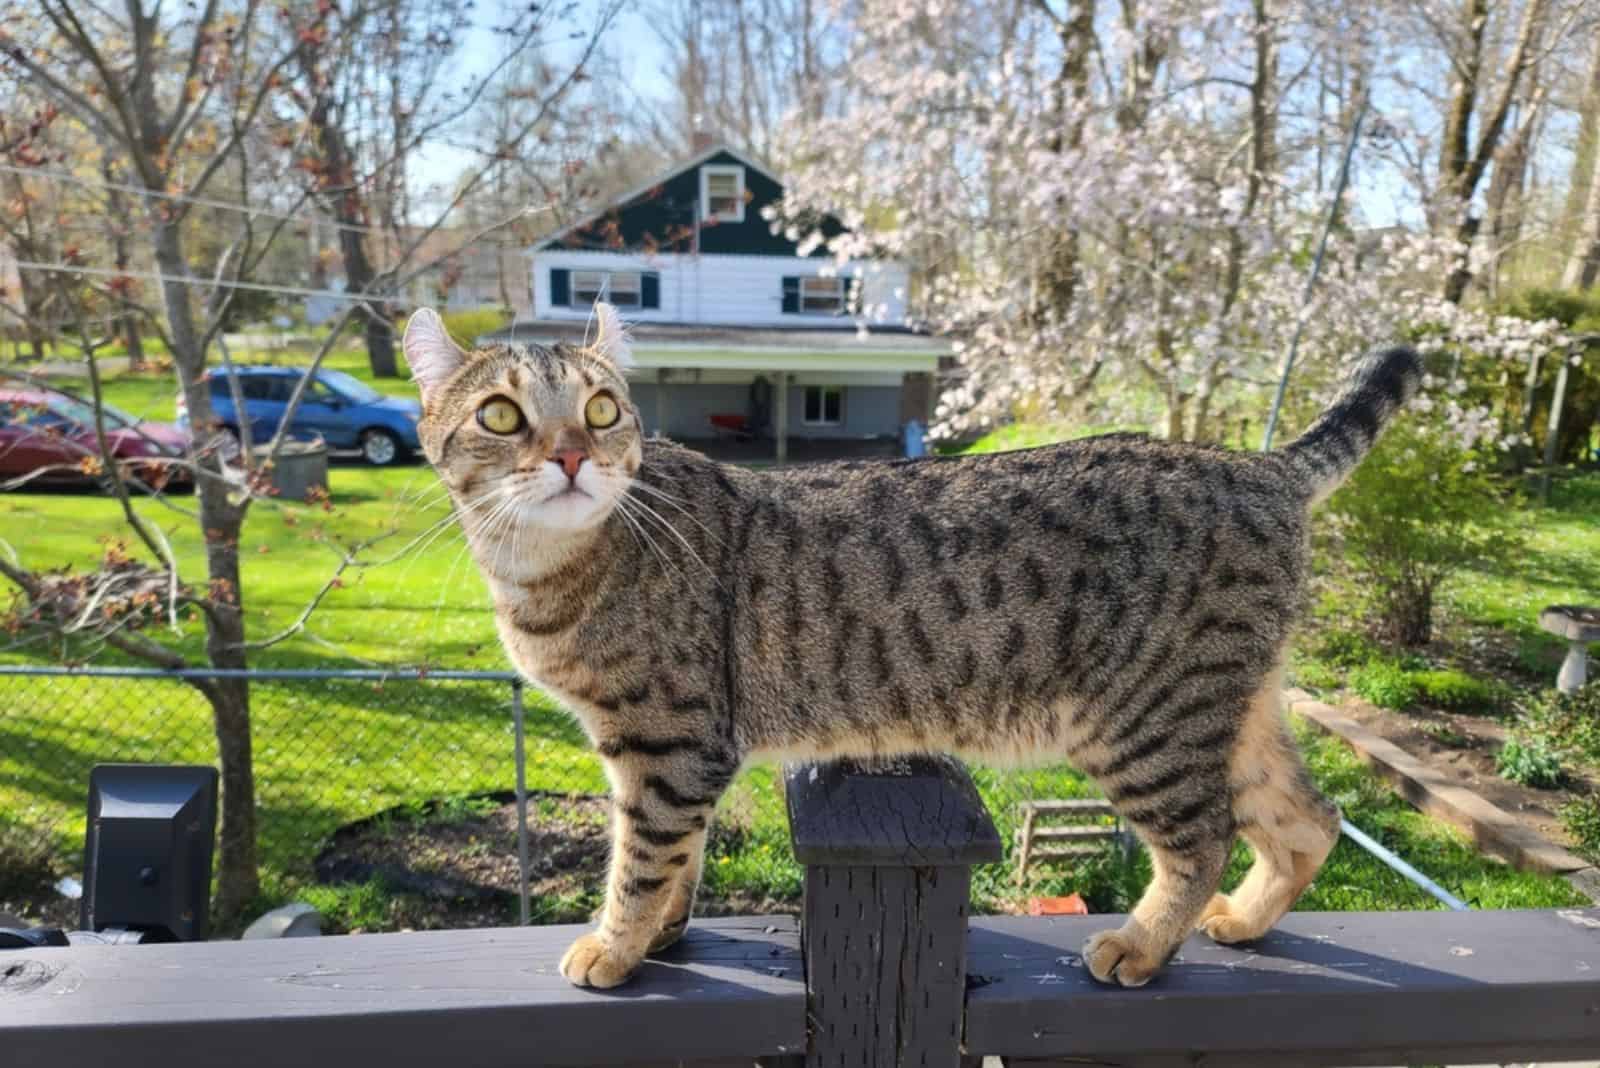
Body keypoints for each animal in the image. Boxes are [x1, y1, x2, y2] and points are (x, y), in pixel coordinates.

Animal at [406, 303, 1420, 991]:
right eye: (501, 416)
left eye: (603, 409)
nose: (573, 454)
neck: (549, 568)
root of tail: (1259, 465)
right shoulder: (669, 750)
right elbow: (676, 861)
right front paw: (658, 933)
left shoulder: (670, 743)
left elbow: (641, 858)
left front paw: (615, 944)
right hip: (1233, 711)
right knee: (1310, 819)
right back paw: (1244, 920)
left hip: (1145, 722)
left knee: (1204, 836)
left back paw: (1141, 942)